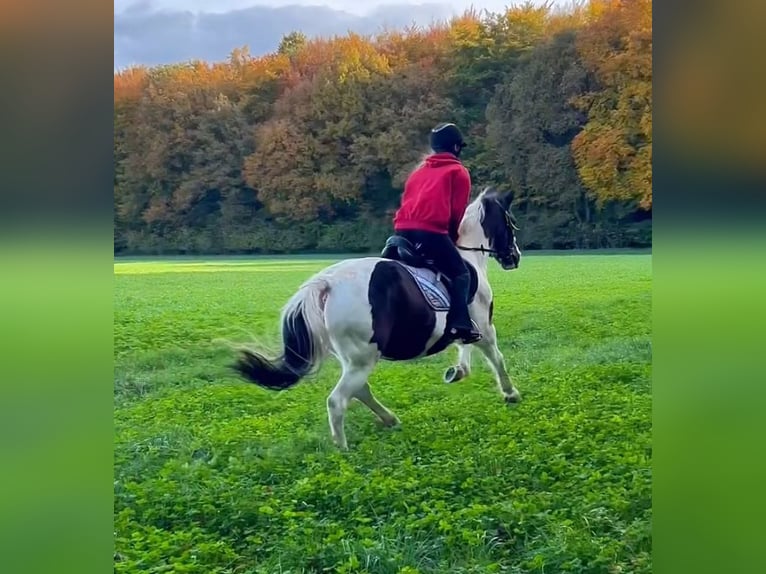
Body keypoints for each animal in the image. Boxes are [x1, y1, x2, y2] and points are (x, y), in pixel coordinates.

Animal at [232, 186, 522, 450]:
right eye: (510, 221)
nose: (514, 257)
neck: (468, 255)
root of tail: (327, 283)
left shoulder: (467, 328)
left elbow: (464, 346)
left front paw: (459, 371)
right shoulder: (484, 327)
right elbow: (497, 359)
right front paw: (510, 393)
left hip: (353, 358)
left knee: (360, 390)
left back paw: (389, 420)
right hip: (363, 357)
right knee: (338, 400)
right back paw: (343, 449)